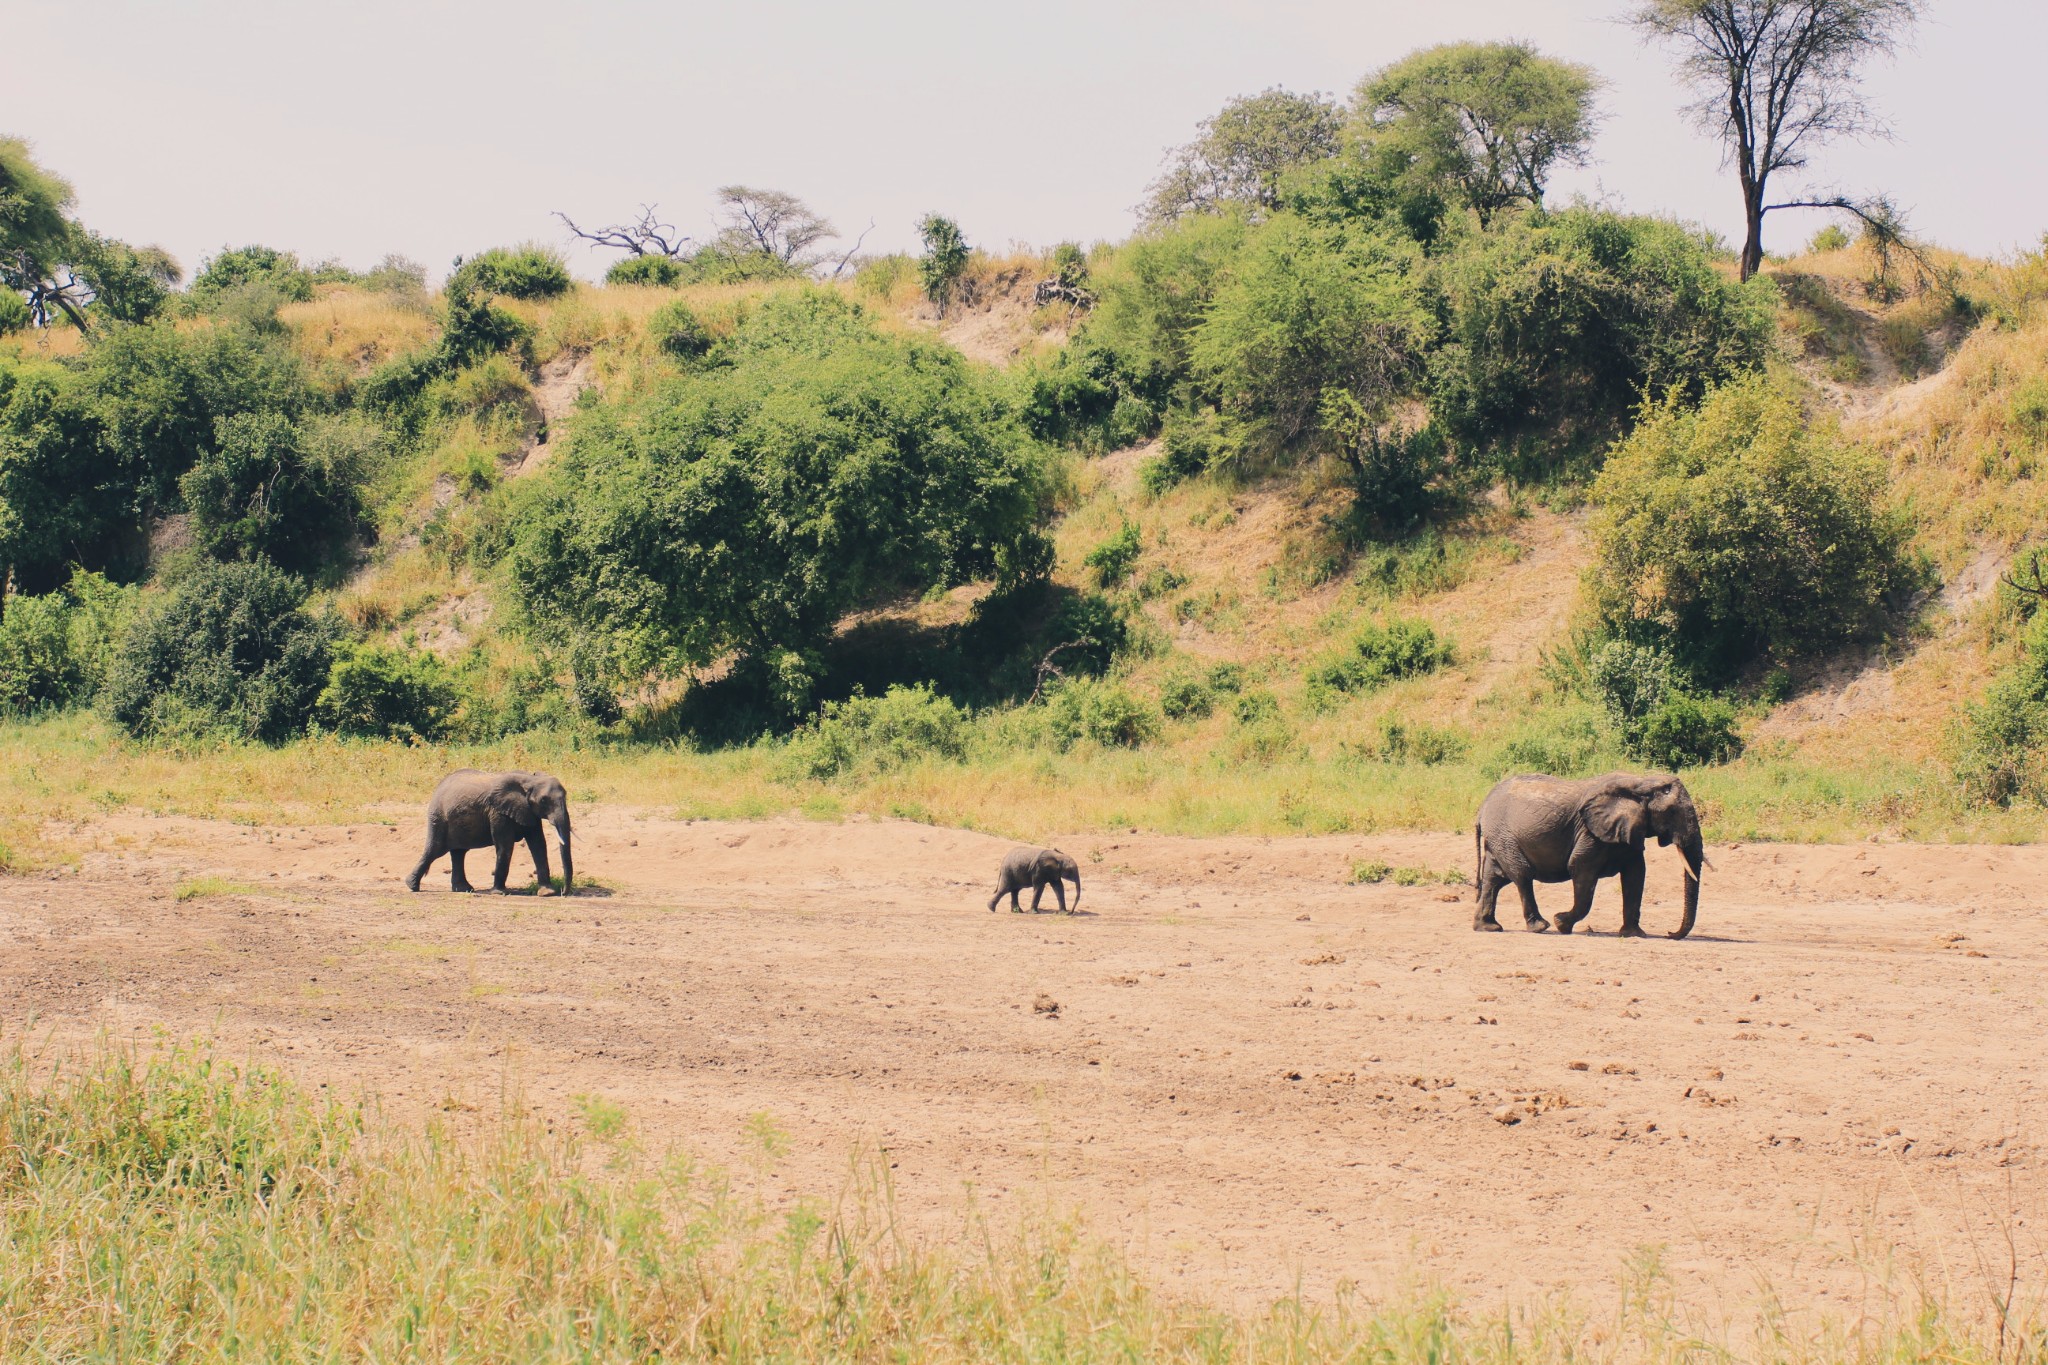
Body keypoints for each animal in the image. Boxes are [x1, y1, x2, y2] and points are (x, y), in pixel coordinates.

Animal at [403, 769, 573, 896]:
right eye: (544, 800)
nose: (564, 893)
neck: (530, 780)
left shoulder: (529, 811)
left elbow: (538, 845)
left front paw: (547, 893)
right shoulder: (498, 812)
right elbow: (505, 846)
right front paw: (499, 893)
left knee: (458, 853)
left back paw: (464, 889)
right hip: (438, 818)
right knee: (435, 849)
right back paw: (412, 886)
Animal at [1482, 769, 1703, 941]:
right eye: (1672, 813)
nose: (1670, 933)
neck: (1641, 781)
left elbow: (1636, 874)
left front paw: (1634, 934)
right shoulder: (1590, 833)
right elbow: (1580, 867)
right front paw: (1561, 923)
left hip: (1499, 839)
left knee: (1494, 878)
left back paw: (1487, 927)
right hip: (1504, 836)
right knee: (1522, 875)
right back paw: (1540, 926)